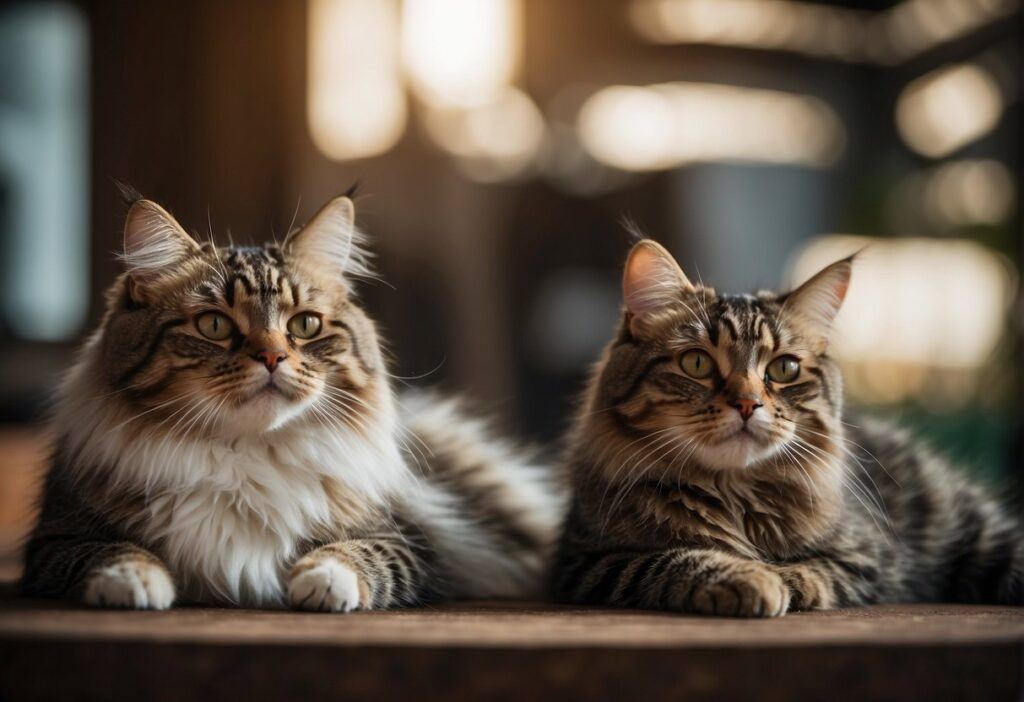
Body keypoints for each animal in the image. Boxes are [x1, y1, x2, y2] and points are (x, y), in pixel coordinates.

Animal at [19, 192, 565, 609]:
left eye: (304, 325)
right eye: (213, 325)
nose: (273, 357)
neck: (244, 459)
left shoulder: (410, 545)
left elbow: (358, 554)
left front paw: (324, 580)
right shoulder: (54, 539)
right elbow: (109, 551)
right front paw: (133, 583)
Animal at [557, 239, 1019, 618]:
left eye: (784, 369)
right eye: (696, 363)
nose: (747, 403)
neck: (733, 492)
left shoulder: (864, 557)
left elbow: (810, 569)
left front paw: (775, 579)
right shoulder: (589, 561)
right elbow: (674, 558)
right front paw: (748, 577)